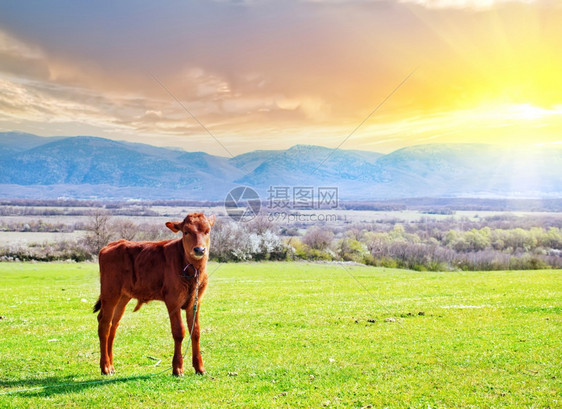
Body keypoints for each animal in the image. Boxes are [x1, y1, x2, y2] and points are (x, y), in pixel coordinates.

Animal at [92, 212, 214, 374]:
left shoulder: (196, 302)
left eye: (207, 231)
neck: (193, 271)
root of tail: (112, 245)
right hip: (110, 293)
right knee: (104, 324)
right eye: (186, 232)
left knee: (113, 324)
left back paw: (111, 365)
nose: (199, 250)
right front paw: (177, 368)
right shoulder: (173, 300)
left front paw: (199, 367)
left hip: (123, 297)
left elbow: (195, 332)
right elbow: (179, 331)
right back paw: (105, 366)